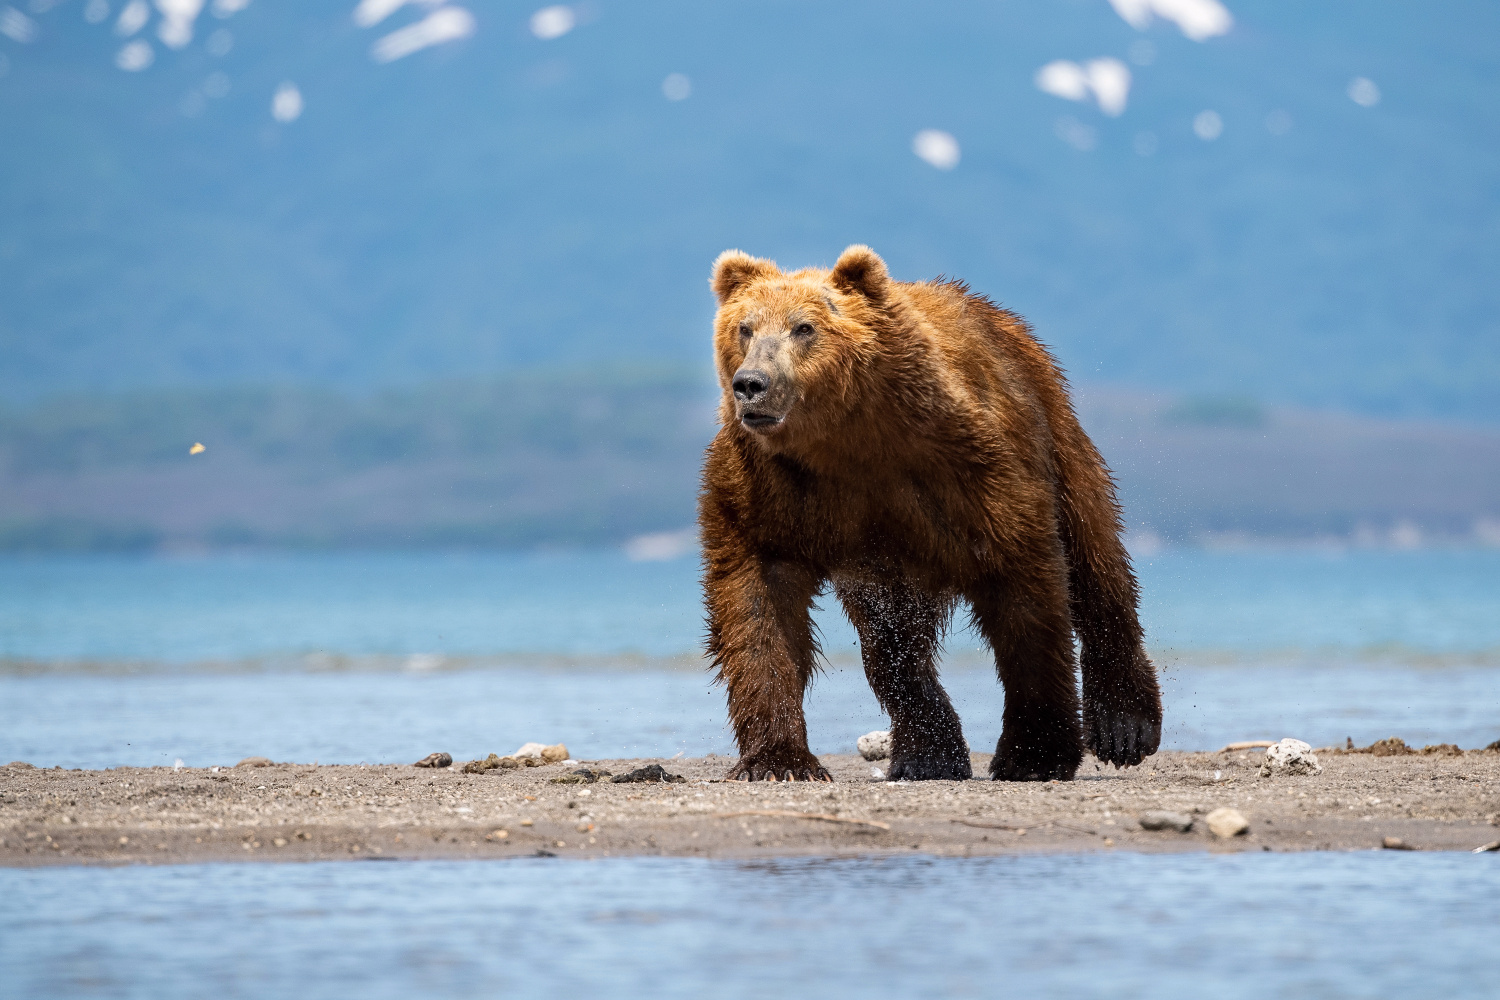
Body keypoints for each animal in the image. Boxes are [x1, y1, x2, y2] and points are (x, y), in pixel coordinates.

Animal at [696, 242, 1164, 779]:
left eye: (804, 327)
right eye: (744, 327)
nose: (751, 383)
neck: (846, 441)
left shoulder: (967, 466)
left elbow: (1026, 593)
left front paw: (1034, 753)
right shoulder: (770, 490)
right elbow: (758, 605)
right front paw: (778, 759)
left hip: (1054, 427)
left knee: (1095, 551)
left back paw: (1125, 726)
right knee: (893, 646)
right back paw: (926, 752)